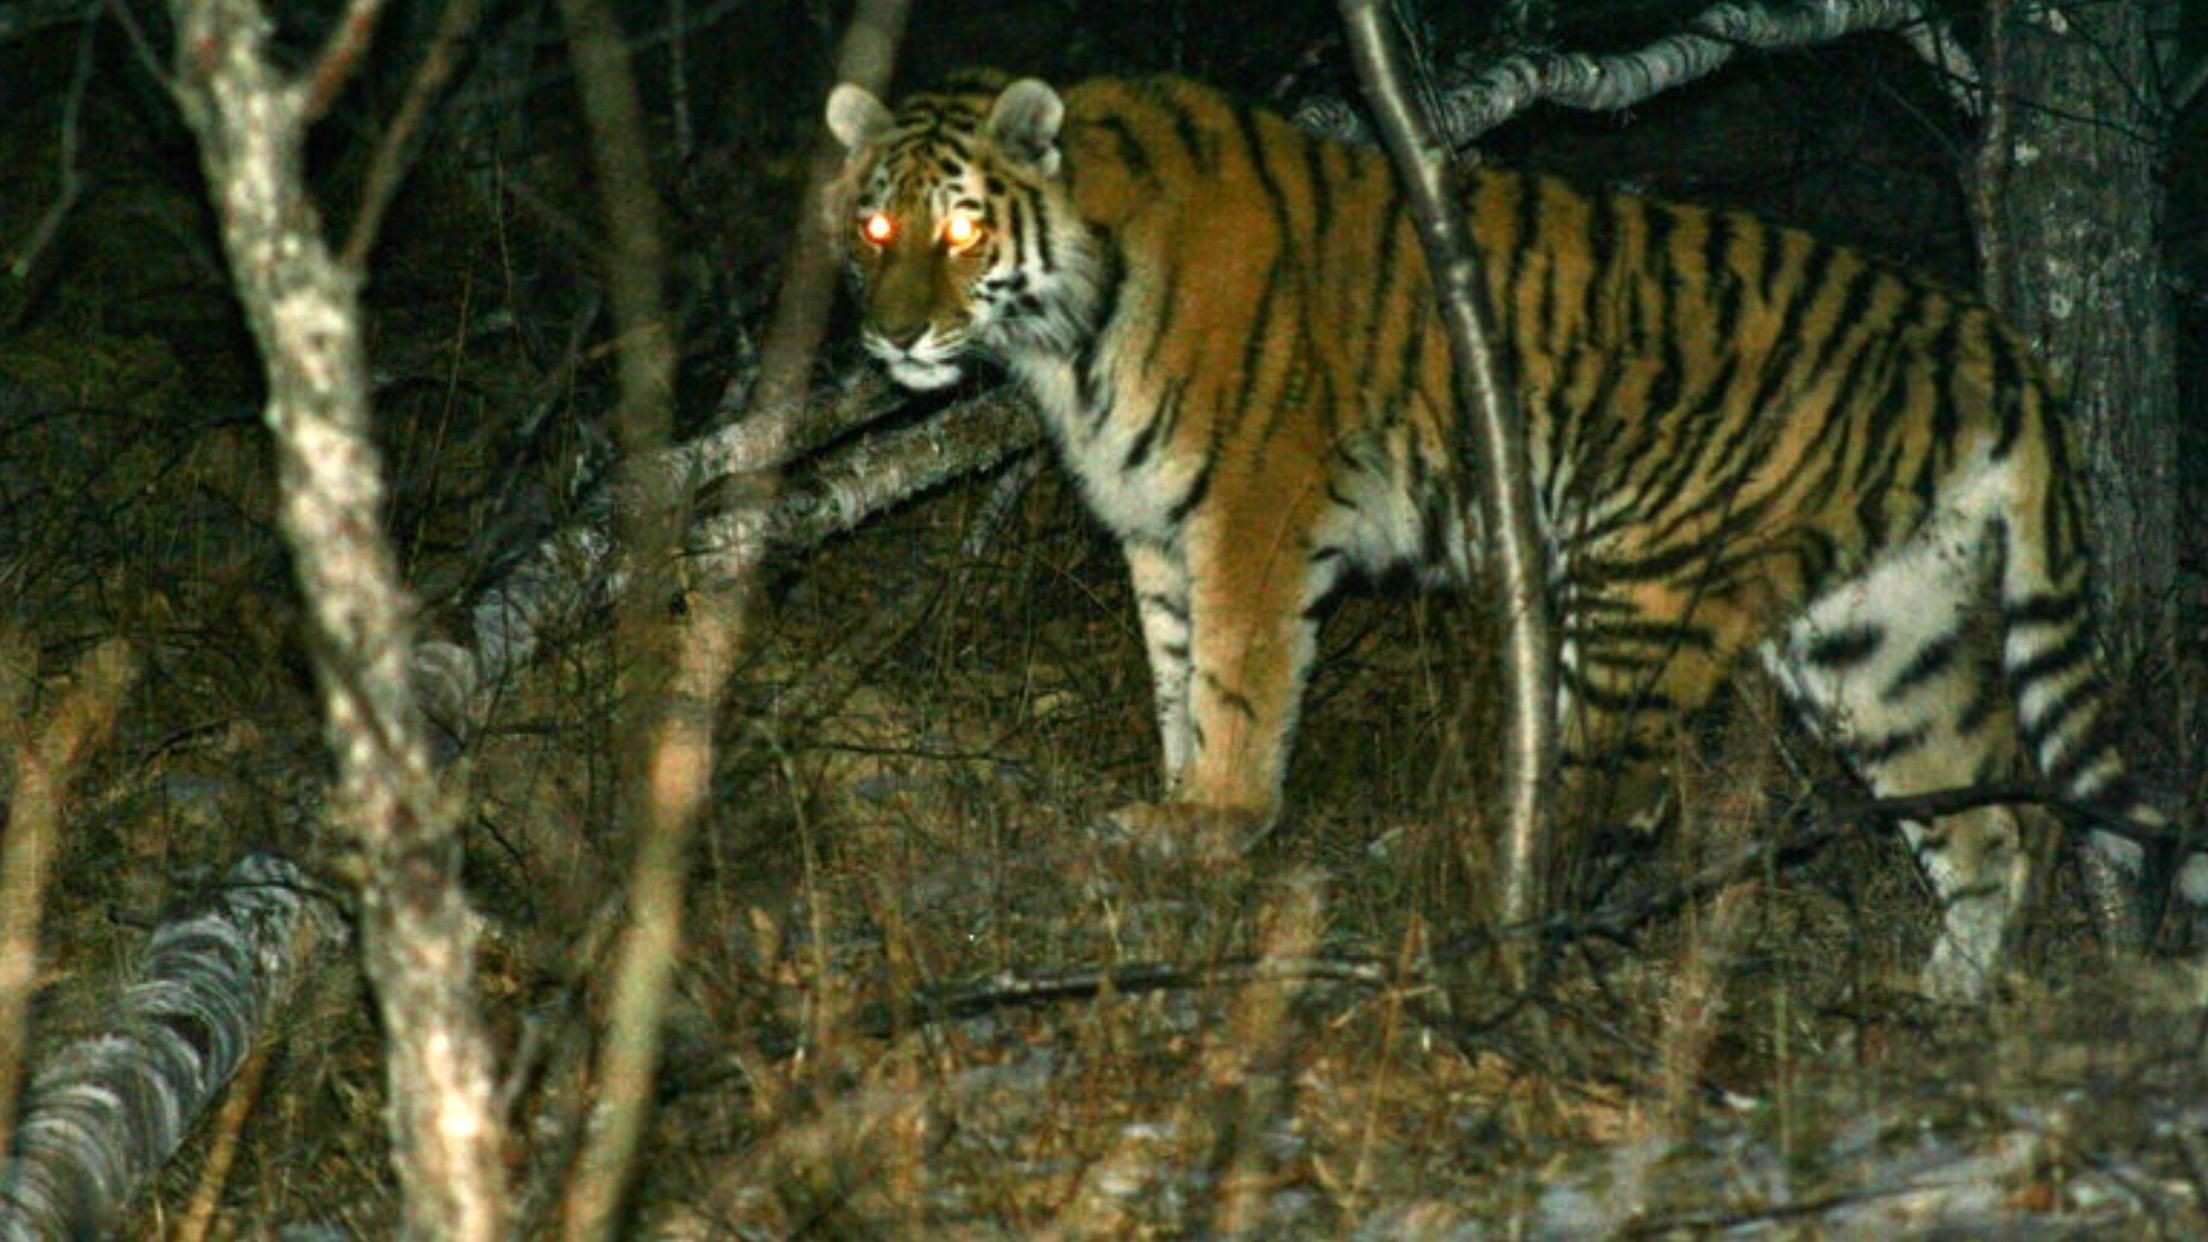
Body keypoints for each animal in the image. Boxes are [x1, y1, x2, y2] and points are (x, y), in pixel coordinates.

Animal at [823, 70, 2193, 1001]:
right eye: (876, 229)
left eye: (961, 230)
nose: (890, 337)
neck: (1072, 322)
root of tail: (1995, 341)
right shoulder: (1161, 534)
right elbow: (1176, 677)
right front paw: (1170, 819)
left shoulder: (1252, 511)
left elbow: (1236, 686)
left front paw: (1218, 829)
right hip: (1880, 636)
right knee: (1993, 820)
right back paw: (1949, 1005)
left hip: (1643, 587)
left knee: (1606, 792)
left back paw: (1488, 923)